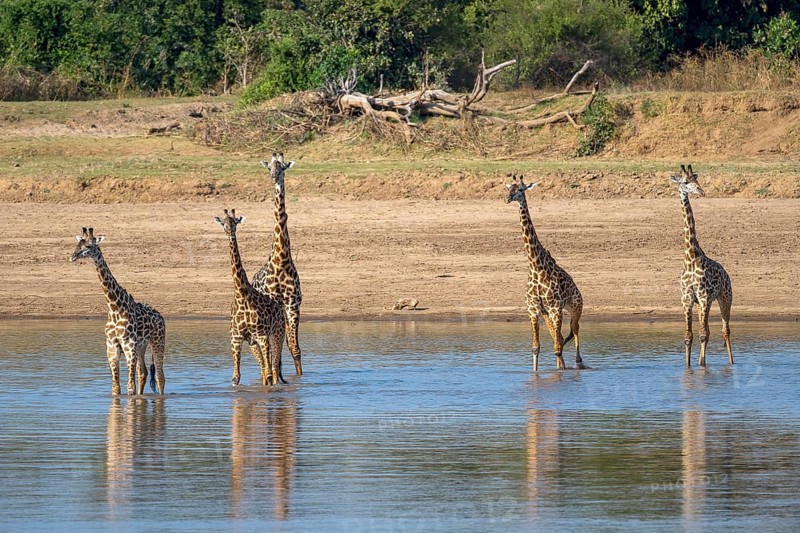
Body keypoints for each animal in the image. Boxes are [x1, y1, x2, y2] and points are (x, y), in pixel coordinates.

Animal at [70, 227, 166, 395]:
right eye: (78, 244)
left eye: (88, 246)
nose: (72, 256)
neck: (114, 307)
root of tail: (161, 316)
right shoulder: (112, 349)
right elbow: (116, 388)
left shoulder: (128, 347)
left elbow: (130, 388)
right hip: (141, 346)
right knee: (143, 373)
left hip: (157, 342)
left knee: (160, 377)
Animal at [215, 209, 286, 386]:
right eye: (223, 222)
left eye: (235, 222)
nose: (230, 231)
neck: (242, 296)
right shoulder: (236, 338)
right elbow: (236, 377)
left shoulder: (262, 336)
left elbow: (269, 374)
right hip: (254, 343)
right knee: (265, 370)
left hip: (277, 335)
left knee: (273, 370)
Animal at [505, 175, 588, 371]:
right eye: (509, 189)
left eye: (520, 190)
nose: (508, 198)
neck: (536, 266)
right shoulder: (534, 309)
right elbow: (537, 348)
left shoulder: (555, 307)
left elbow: (557, 347)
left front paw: (562, 371)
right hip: (548, 313)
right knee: (559, 338)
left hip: (575, 306)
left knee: (574, 329)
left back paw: (578, 362)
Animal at [672, 164, 733, 367]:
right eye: (685, 182)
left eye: (696, 180)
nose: (701, 191)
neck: (691, 257)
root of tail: (726, 274)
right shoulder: (687, 299)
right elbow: (689, 336)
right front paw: (690, 367)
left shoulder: (704, 296)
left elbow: (703, 335)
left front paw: (701, 366)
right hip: (701, 304)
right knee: (708, 329)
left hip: (725, 297)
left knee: (725, 330)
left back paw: (731, 363)